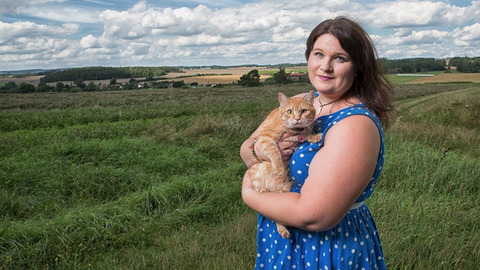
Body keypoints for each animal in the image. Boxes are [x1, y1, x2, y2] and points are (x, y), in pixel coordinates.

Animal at [248, 90, 322, 238]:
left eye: (303, 111)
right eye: (289, 111)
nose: (297, 118)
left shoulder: (298, 135)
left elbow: (305, 134)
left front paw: (313, 136)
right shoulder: (265, 137)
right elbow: (275, 152)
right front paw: (278, 168)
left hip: (284, 191)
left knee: (277, 216)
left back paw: (283, 230)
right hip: (256, 174)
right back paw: (263, 189)